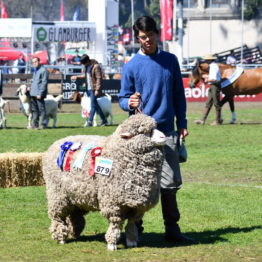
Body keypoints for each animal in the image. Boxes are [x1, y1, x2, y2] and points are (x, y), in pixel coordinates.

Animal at [42, 114, 166, 250]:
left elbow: (132, 223)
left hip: (75, 195)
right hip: (57, 194)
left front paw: (132, 241)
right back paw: (61, 238)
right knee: (58, 217)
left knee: (72, 214)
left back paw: (73, 231)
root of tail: (57, 143)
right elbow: (115, 223)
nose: (163, 137)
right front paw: (112, 244)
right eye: (144, 132)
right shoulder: (113, 202)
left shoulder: (137, 204)